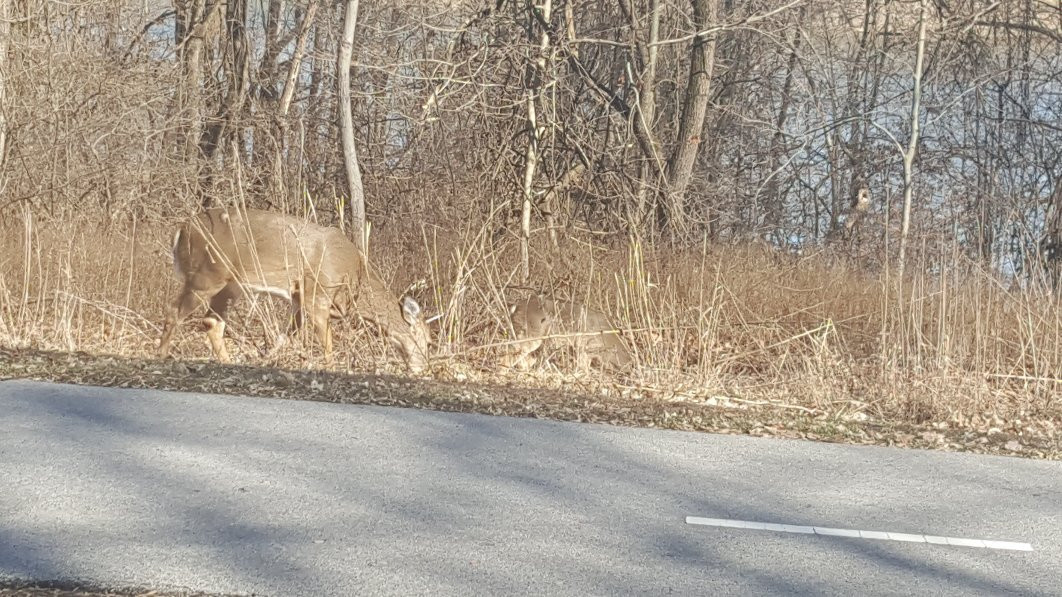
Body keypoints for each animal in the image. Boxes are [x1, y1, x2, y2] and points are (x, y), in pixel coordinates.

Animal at [155, 207, 429, 369]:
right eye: (426, 341)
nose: (423, 367)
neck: (354, 280)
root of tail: (181, 230)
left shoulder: (298, 298)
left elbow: (286, 335)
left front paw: (267, 359)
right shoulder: (317, 293)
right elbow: (327, 343)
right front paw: (331, 368)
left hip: (230, 287)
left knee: (212, 322)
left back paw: (228, 361)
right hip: (206, 276)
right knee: (173, 310)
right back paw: (161, 355)